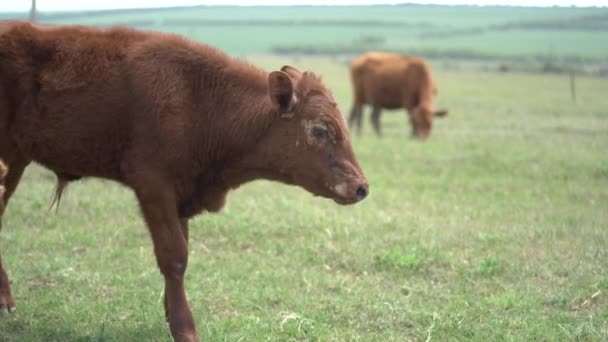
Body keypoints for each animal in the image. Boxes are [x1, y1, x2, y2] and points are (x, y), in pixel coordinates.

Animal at [0, 22, 368, 340]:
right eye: (320, 129)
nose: (361, 187)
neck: (200, 98)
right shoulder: (154, 187)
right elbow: (174, 257)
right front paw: (184, 328)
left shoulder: (182, 197)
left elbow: (181, 253)